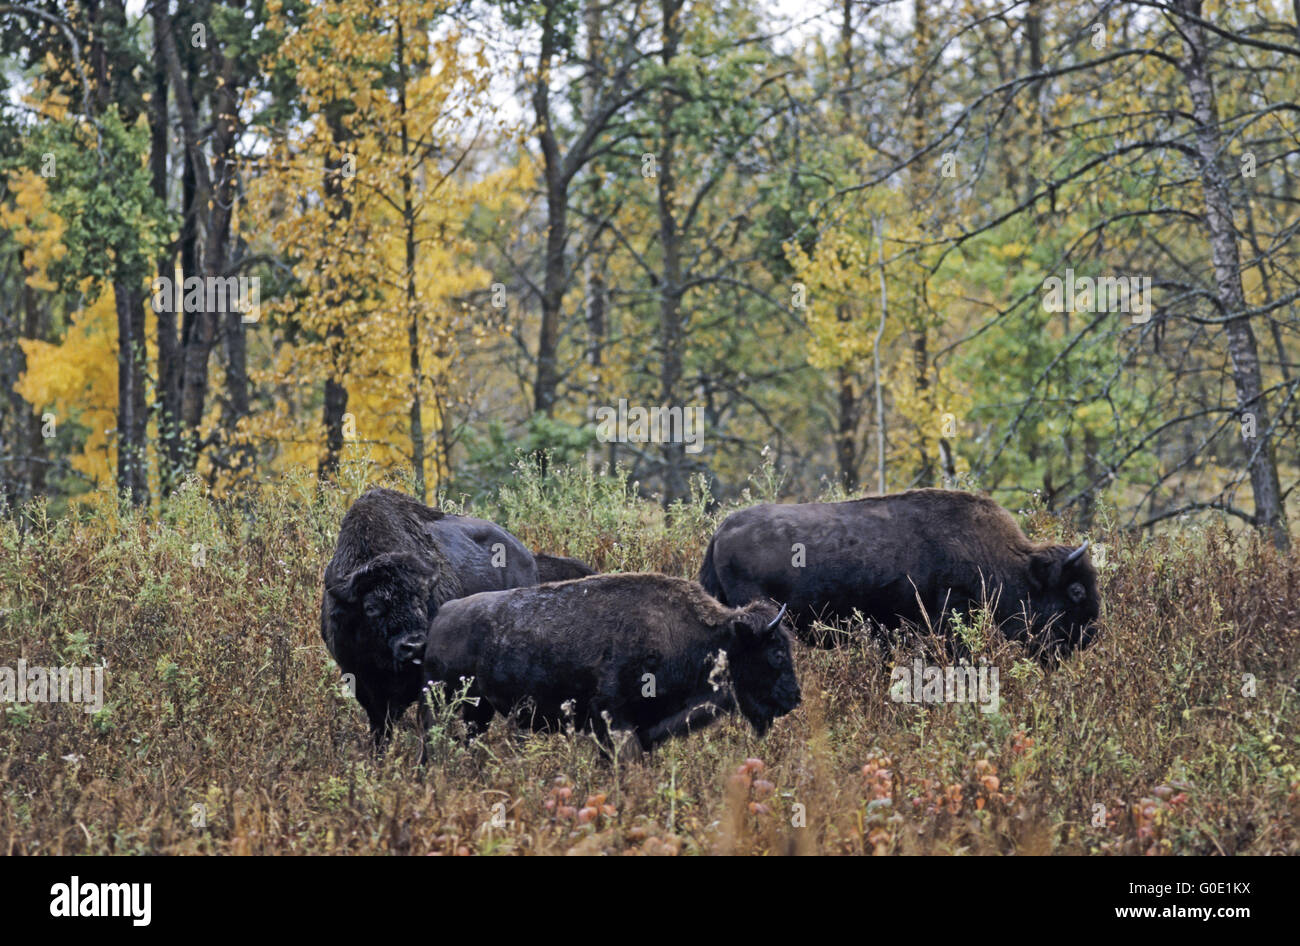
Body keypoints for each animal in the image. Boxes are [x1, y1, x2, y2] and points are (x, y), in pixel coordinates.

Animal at [322, 488, 540, 748]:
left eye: (422, 599)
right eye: (371, 607)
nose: (414, 646)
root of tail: (526, 558)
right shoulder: (364, 685)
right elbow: (381, 730)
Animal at [421, 569, 795, 753]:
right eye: (777, 653)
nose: (794, 699)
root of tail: (443, 614)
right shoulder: (614, 719)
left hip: (478, 710)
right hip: (441, 703)